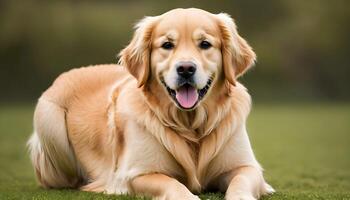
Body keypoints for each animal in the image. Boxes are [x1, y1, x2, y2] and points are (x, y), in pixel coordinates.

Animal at [27, 8, 274, 200]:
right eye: (167, 45)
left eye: (205, 44)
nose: (186, 68)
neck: (191, 126)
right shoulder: (135, 174)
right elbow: (172, 184)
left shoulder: (246, 167)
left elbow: (241, 181)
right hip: (50, 123)